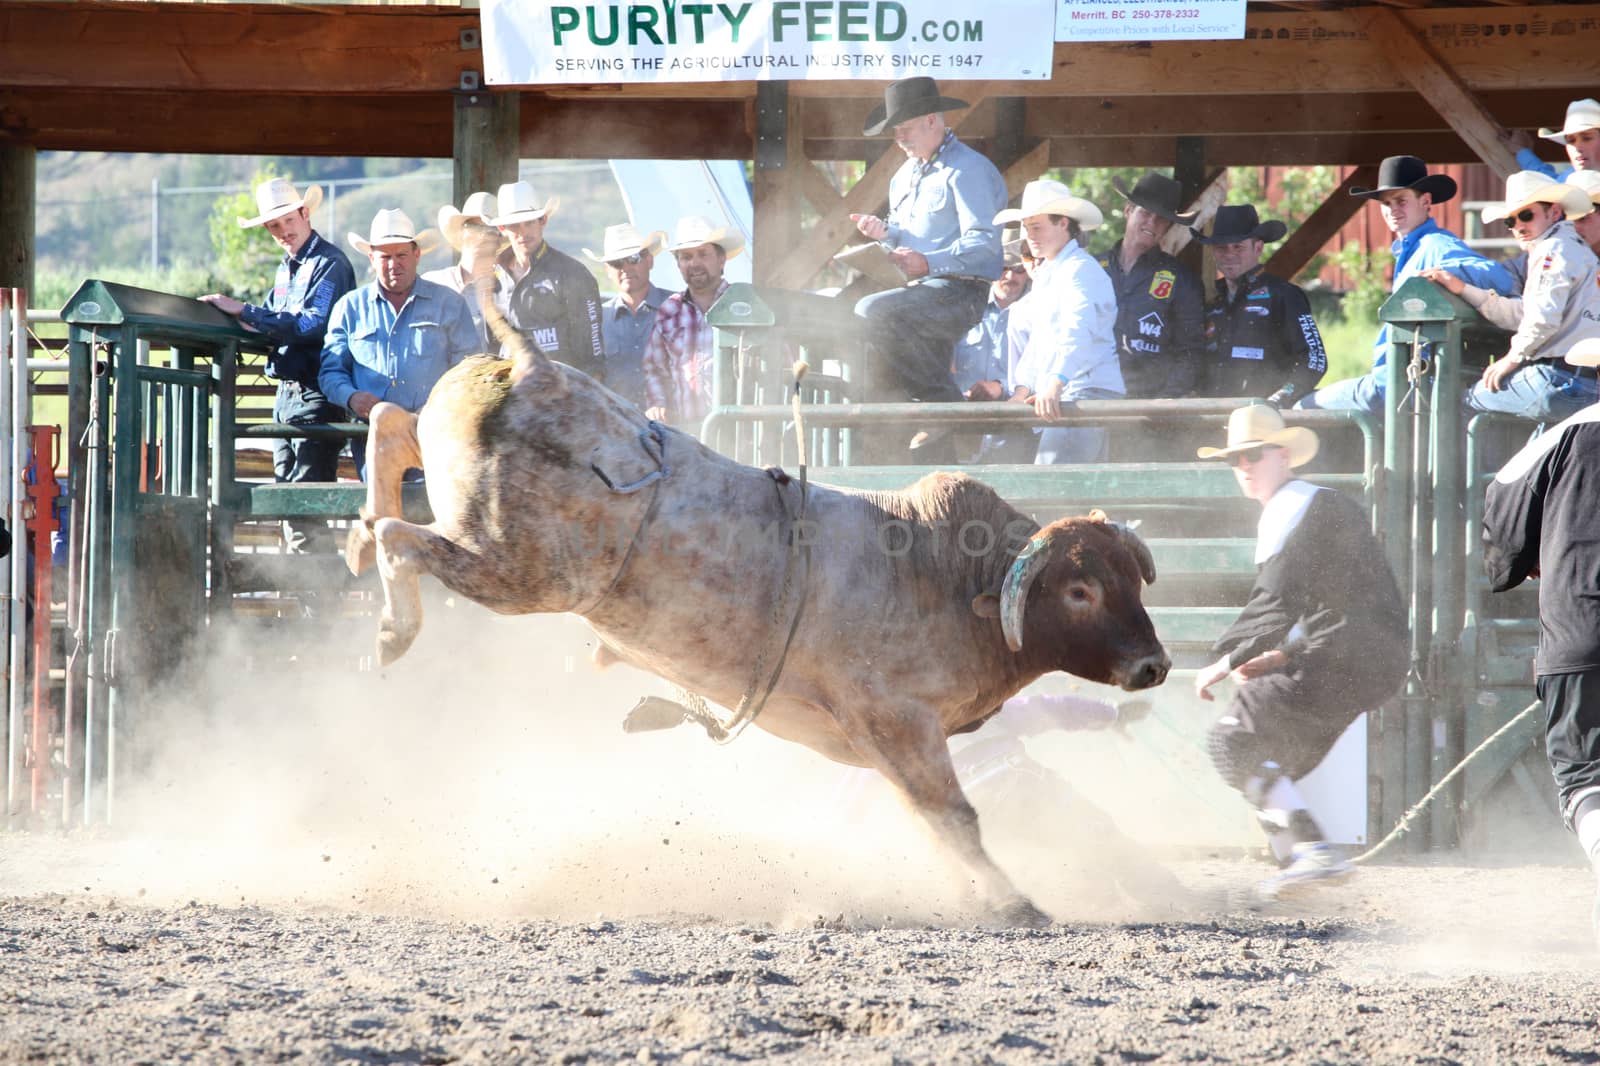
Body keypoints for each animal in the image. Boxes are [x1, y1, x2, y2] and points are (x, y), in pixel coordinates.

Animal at [350, 308, 1171, 921]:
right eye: (1079, 591)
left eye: (1134, 581)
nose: (1155, 666)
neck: (945, 572)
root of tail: (530, 365)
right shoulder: (897, 720)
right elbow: (953, 818)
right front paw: (1013, 905)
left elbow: (929, 821)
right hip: (518, 570)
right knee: (403, 538)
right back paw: (390, 623)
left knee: (392, 423)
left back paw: (360, 528)